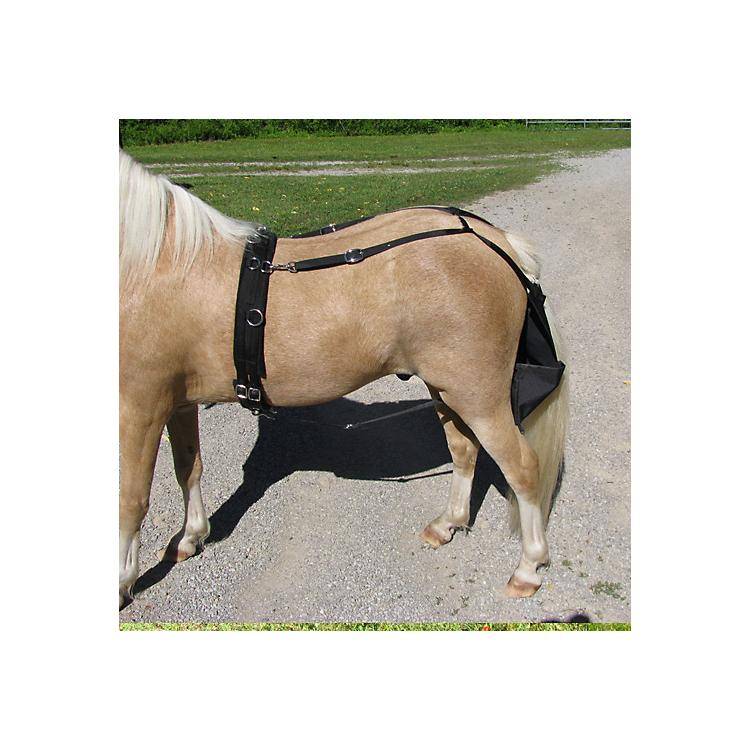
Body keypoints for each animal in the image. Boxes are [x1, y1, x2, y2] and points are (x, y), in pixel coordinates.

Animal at [119, 150, 569, 611]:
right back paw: (447, 524)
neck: (161, 263)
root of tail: (493, 240)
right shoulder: (176, 402)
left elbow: (131, 499)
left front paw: (122, 581)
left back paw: (528, 568)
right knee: (465, 450)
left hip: (480, 398)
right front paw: (190, 537)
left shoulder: (138, 406)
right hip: (448, 391)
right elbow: (188, 467)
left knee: (523, 468)